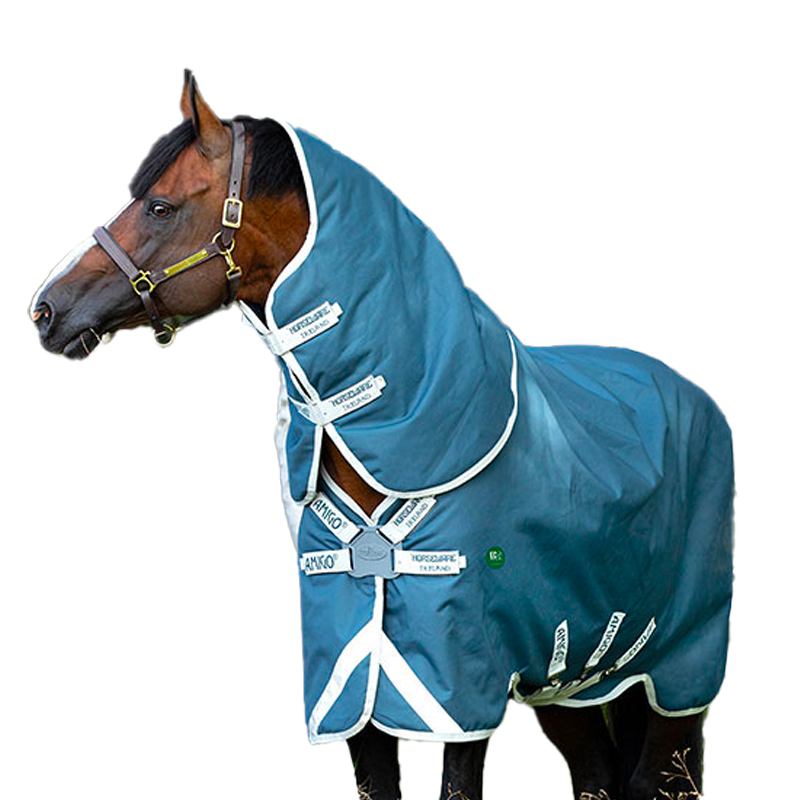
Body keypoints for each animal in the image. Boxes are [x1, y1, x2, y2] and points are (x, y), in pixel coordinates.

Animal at [31, 73, 734, 800]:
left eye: (162, 206)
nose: (46, 311)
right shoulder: (355, 690)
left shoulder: (459, 691)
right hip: (574, 684)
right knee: (597, 774)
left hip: (674, 675)